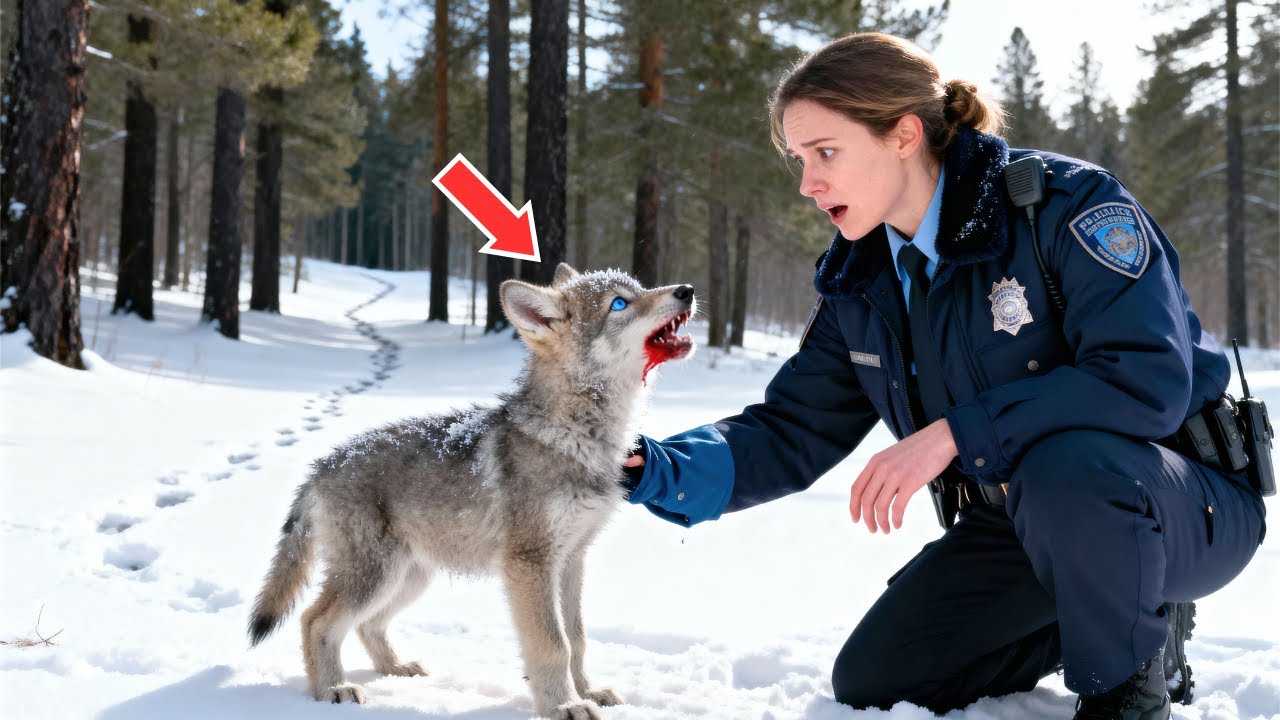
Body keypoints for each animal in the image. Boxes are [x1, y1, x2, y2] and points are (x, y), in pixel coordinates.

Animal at [248, 263, 696, 719]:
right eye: (619, 303)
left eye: (639, 288)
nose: (687, 290)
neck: (575, 436)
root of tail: (321, 467)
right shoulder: (530, 565)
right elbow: (554, 644)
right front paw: (563, 706)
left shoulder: (572, 559)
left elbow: (578, 638)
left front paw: (587, 692)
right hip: (375, 577)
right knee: (315, 621)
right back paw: (333, 690)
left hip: (408, 579)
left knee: (367, 624)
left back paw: (396, 670)